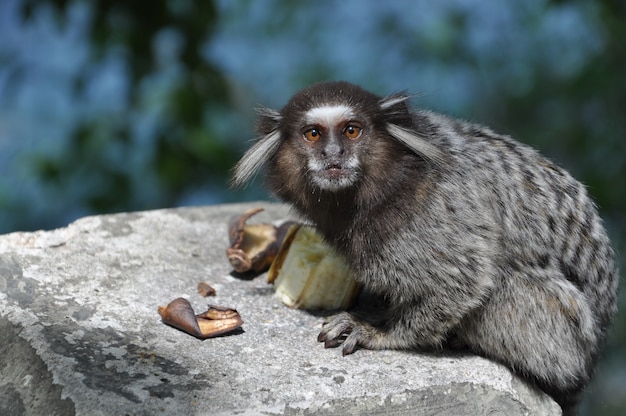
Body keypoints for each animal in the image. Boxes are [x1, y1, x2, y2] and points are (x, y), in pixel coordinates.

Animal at [232, 80, 616, 412]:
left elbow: (463, 278)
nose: (333, 153)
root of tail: (592, 357)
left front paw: (378, 330)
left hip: (558, 333)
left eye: (351, 130)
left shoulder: (435, 207)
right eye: (312, 134)